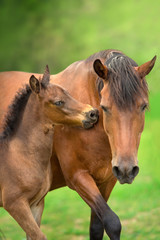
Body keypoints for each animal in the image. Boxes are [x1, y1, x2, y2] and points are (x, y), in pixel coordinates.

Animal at [0, 49, 156, 239]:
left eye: (143, 106)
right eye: (105, 107)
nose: (126, 169)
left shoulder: (107, 180)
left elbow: (97, 227)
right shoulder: (78, 177)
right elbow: (112, 222)